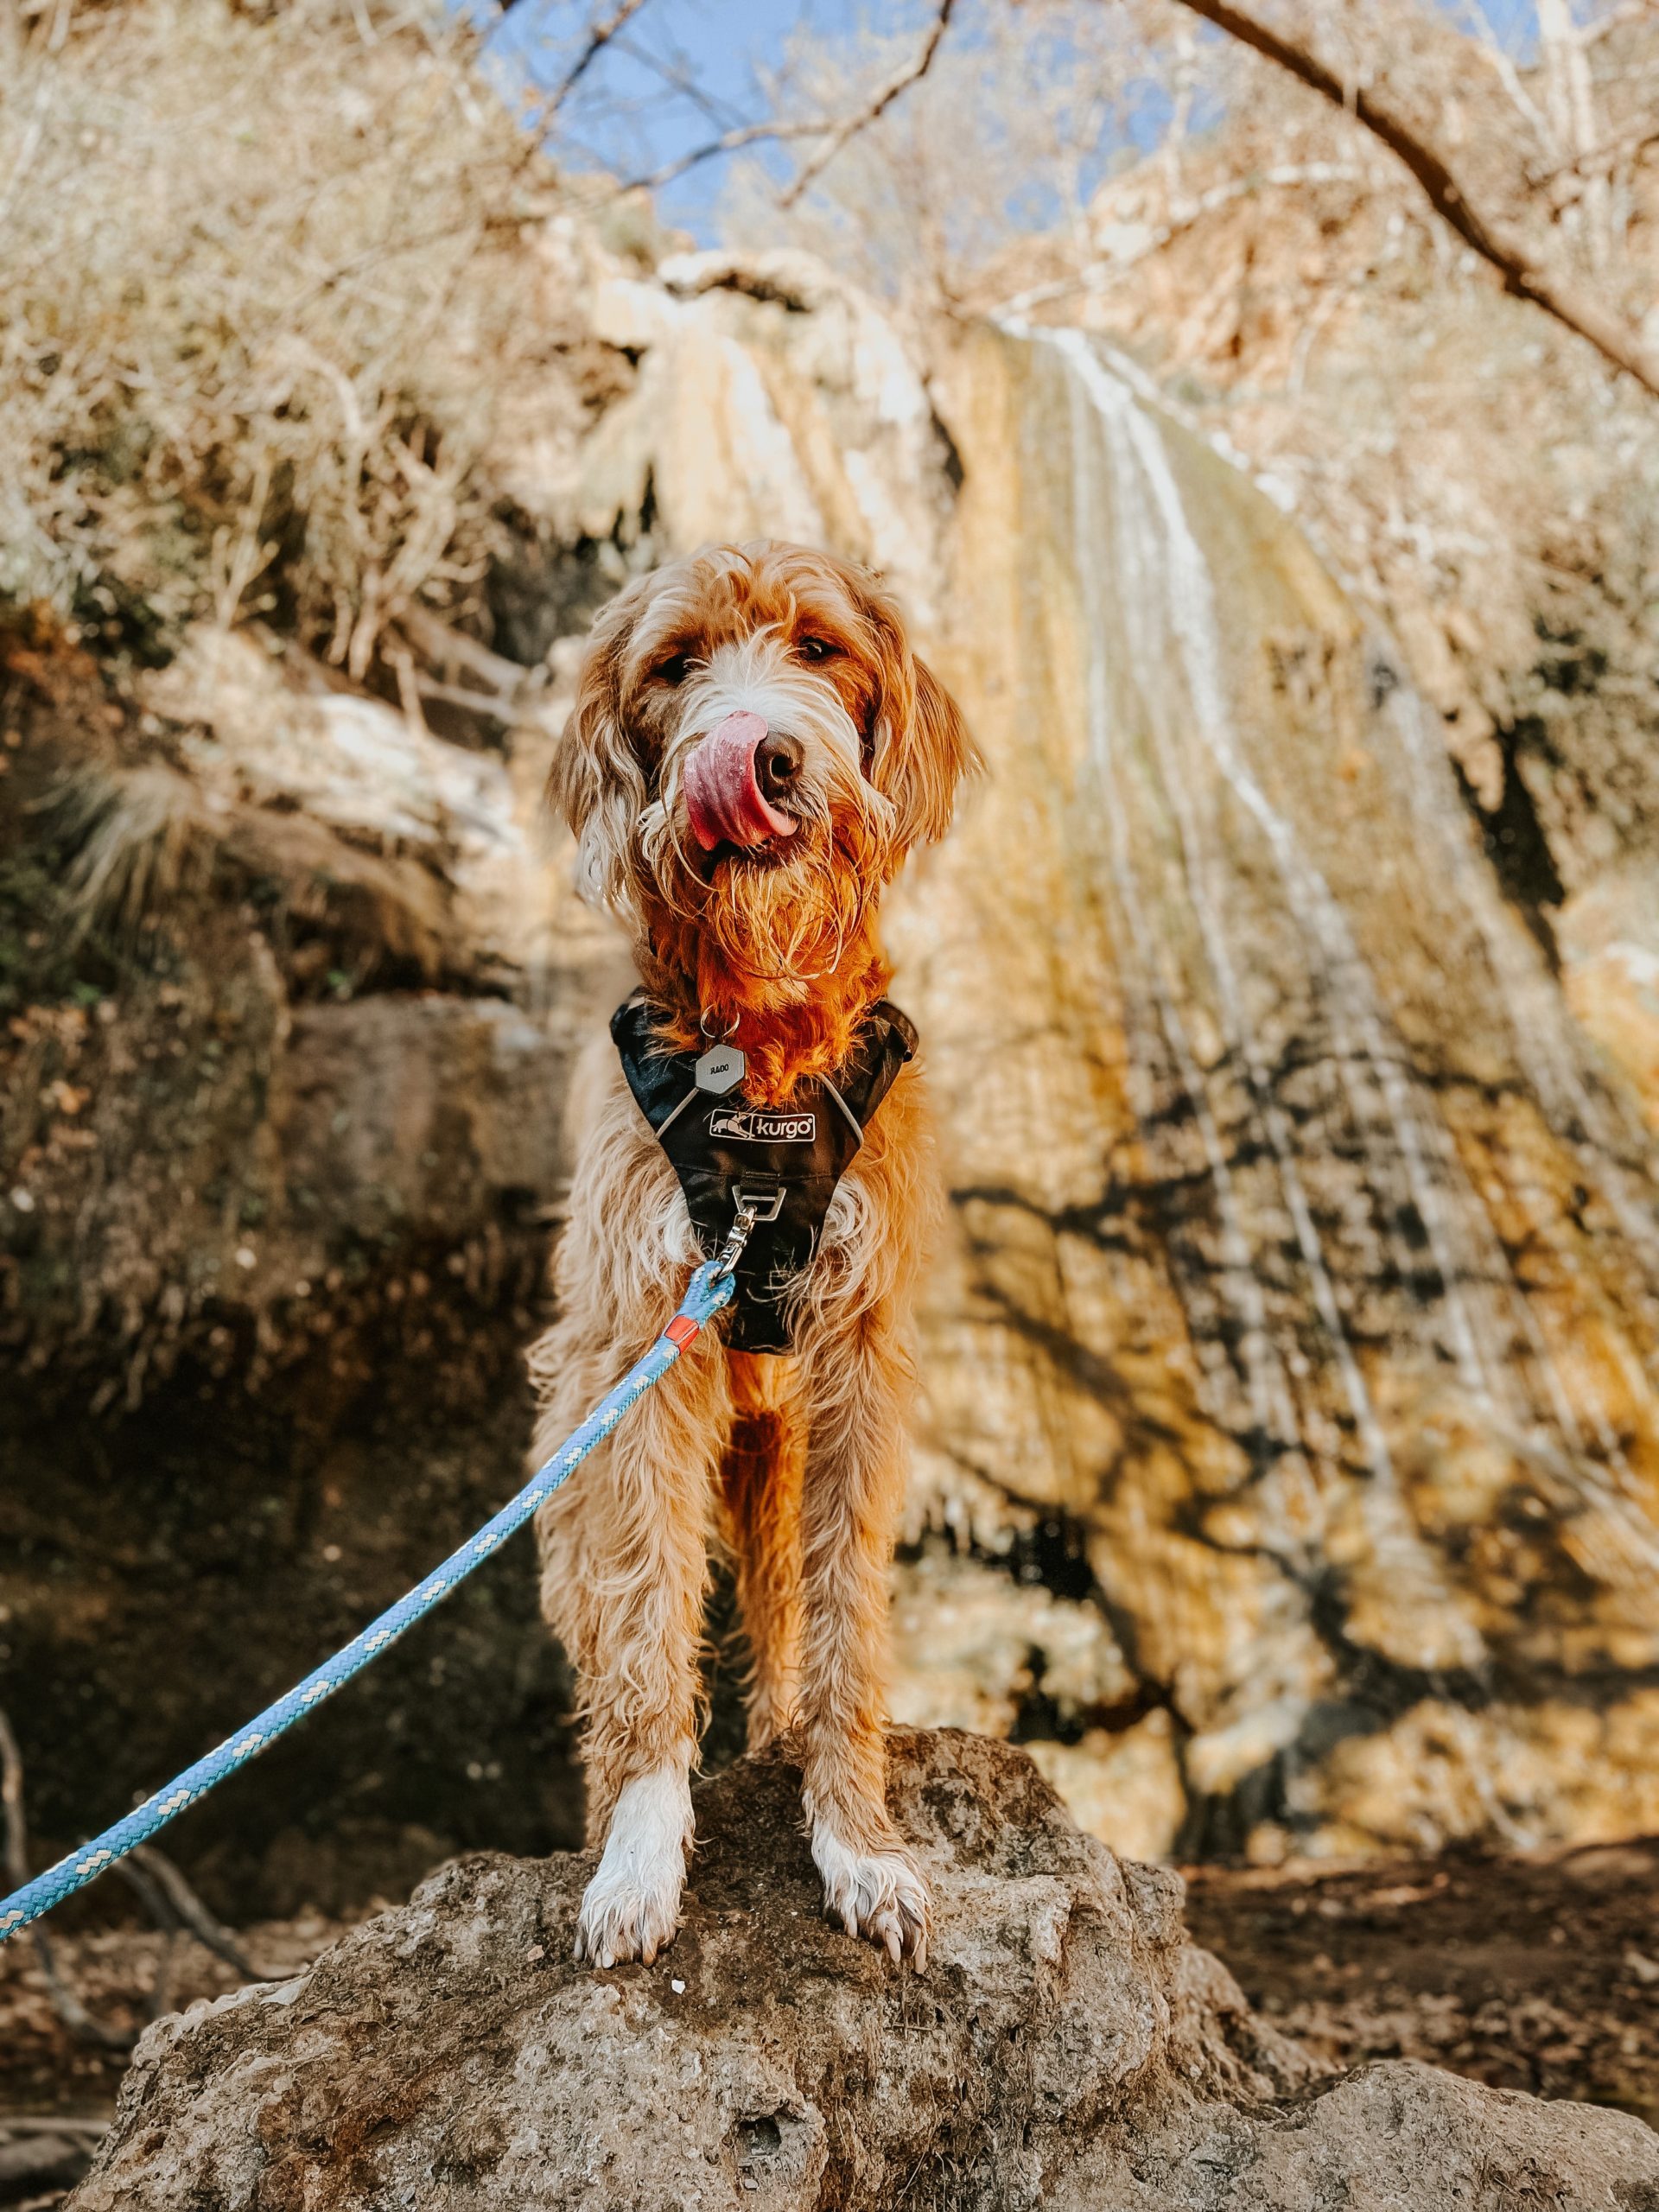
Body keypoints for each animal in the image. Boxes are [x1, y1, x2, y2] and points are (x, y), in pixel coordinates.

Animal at [528, 535, 973, 1973]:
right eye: (676, 668)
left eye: (820, 648)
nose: (759, 755)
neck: (762, 1048)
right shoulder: (642, 1354)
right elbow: (647, 1621)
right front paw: (640, 1859)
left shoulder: (857, 1367)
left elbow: (839, 1631)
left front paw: (856, 1844)